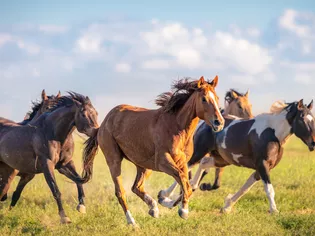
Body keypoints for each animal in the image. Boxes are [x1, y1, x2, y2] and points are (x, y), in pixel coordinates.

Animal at [0, 92, 99, 223]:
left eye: (96, 113)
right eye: (83, 114)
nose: (96, 131)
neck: (51, 132)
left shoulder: (64, 164)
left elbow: (78, 179)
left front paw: (81, 207)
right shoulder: (47, 164)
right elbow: (55, 189)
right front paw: (64, 217)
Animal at [80, 76, 226, 226]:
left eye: (217, 97)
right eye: (204, 99)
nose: (219, 122)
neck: (177, 128)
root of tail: (103, 124)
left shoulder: (183, 162)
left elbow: (187, 184)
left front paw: (168, 201)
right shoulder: (163, 162)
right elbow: (183, 181)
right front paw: (182, 210)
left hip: (144, 165)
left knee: (136, 187)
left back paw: (153, 209)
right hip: (114, 160)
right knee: (120, 192)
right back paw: (132, 222)